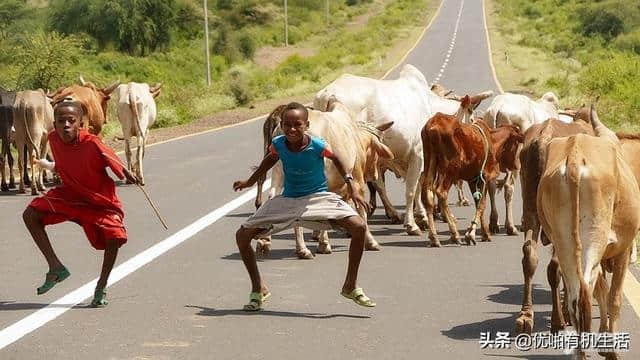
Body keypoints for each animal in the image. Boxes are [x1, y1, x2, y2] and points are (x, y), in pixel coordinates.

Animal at [420, 98, 524, 248]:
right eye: (516, 143)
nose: (517, 165)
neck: (492, 140)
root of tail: (432, 126)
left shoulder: (472, 178)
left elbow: (478, 203)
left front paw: (484, 232)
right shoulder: (485, 176)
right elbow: (482, 204)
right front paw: (472, 234)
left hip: (430, 162)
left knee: (427, 194)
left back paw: (434, 237)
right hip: (450, 169)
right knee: (441, 192)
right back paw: (454, 233)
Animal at [512, 116, 592, 334]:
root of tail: (544, 137)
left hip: (530, 208)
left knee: (529, 256)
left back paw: (526, 315)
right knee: (556, 266)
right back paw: (558, 319)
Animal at [536, 105, 640, 358]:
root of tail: (574, 155)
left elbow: (602, 291)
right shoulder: (622, 249)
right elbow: (613, 297)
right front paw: (609, 347)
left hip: (564, 244)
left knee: (576, 294)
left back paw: (579, 350)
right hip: (593, 242)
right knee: (586, 290)